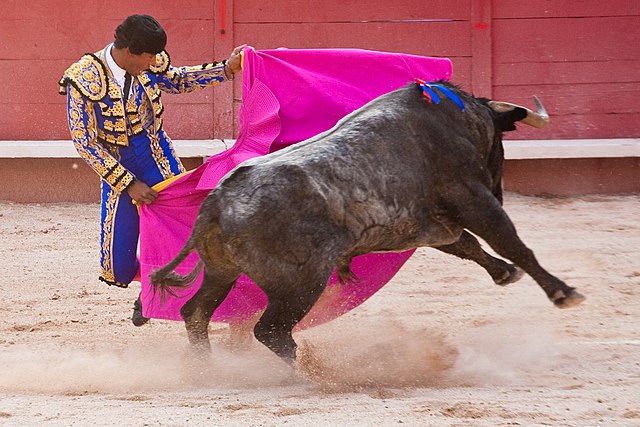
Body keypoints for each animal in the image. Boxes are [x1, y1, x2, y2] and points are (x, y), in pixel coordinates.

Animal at [151, 83, 584, 364]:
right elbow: (510, 242)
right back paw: (313, 373)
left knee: (196, 313)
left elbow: (468, 245)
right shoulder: (474, 199)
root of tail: (215, 203)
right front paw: (563, 292)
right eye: (502, 143)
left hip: (221, 272)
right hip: (301, 283)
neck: (460, 120)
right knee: (270, 331)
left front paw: (504, 273)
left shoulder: (430, 225)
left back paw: (206, 367)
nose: (502, 188)